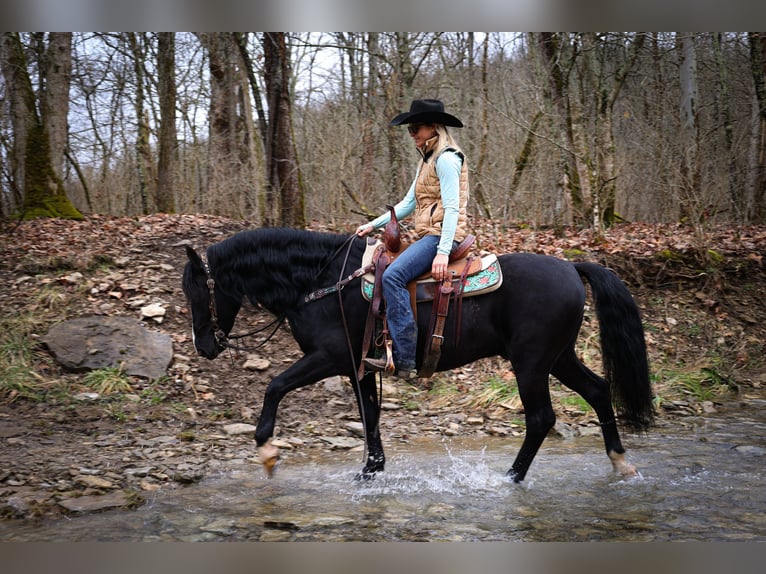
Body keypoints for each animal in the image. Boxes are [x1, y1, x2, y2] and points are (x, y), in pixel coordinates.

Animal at [183, 227, 656, 484]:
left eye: (197, 290)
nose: (203, 346)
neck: (322, 283)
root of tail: (572, 267)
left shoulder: (329, 358)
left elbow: (275, 386)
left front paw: (266, 451)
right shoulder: (359, 367)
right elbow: (370, 415)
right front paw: (371, 470)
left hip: (532, 363)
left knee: (541, 418)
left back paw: (509, 479)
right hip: (558, 357)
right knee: (598, 391)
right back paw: (621, 463)